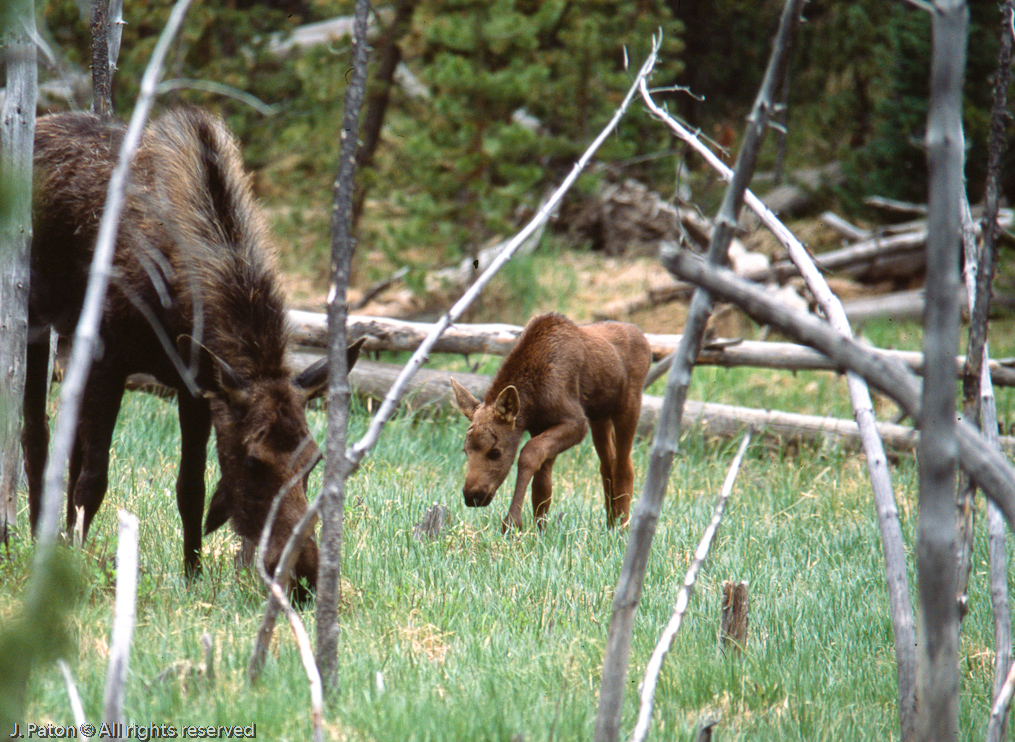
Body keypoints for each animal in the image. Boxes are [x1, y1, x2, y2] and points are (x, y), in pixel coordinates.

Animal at [22, 107, 360, 599]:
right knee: (37, 436)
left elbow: (190, 487)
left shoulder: (196, 382)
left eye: (314, 460)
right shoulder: (108, 356)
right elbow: (94, 478)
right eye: (254, 461)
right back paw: (35, 537)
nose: (303, 577)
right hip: (35, 321)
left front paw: (193, 574)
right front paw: (77, 570)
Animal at [450, 312, 651, 531]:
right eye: (465, 450)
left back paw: (622, 527)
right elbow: (542, 486)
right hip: (600, 415)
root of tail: (644, 338)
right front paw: (540, 530)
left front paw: (512, 523)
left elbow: (529, 454)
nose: (472, 496)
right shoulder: (540, 426)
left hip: (629, 403)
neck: (532, 401)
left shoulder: (576, 422)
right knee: (607, 464)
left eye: (495, 452)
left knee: (624, 465)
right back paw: (610, 523)